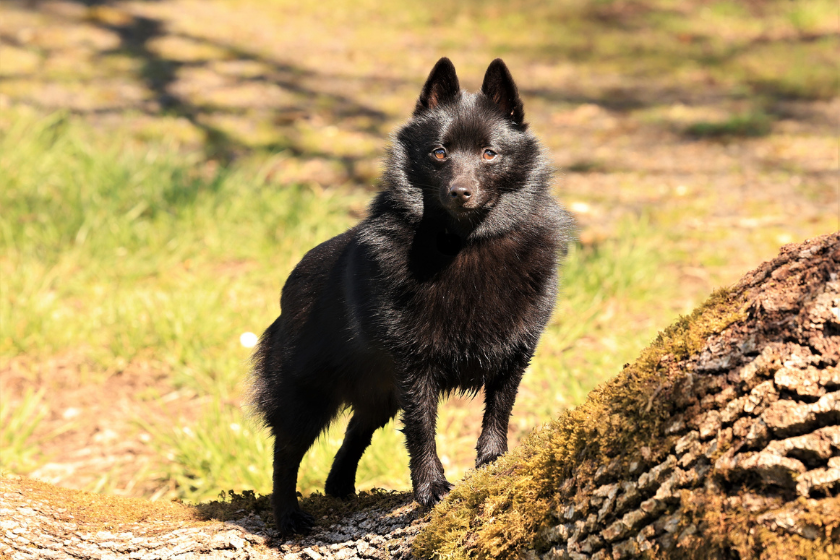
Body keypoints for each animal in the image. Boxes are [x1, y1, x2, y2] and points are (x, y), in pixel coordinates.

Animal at [249, 57, 576, 532]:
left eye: (489, 153)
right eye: (439, 153)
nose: (460, 191)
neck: (463, 246)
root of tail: (290, 283)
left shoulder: (515, 352)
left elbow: (499, 410)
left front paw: (492, 462)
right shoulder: (413, 367)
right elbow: (422, 428)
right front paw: (430, 488)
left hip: (377, 394)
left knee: (355, 431)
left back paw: (339, 485)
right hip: (306, 393)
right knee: (285, 452)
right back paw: (288, 515)